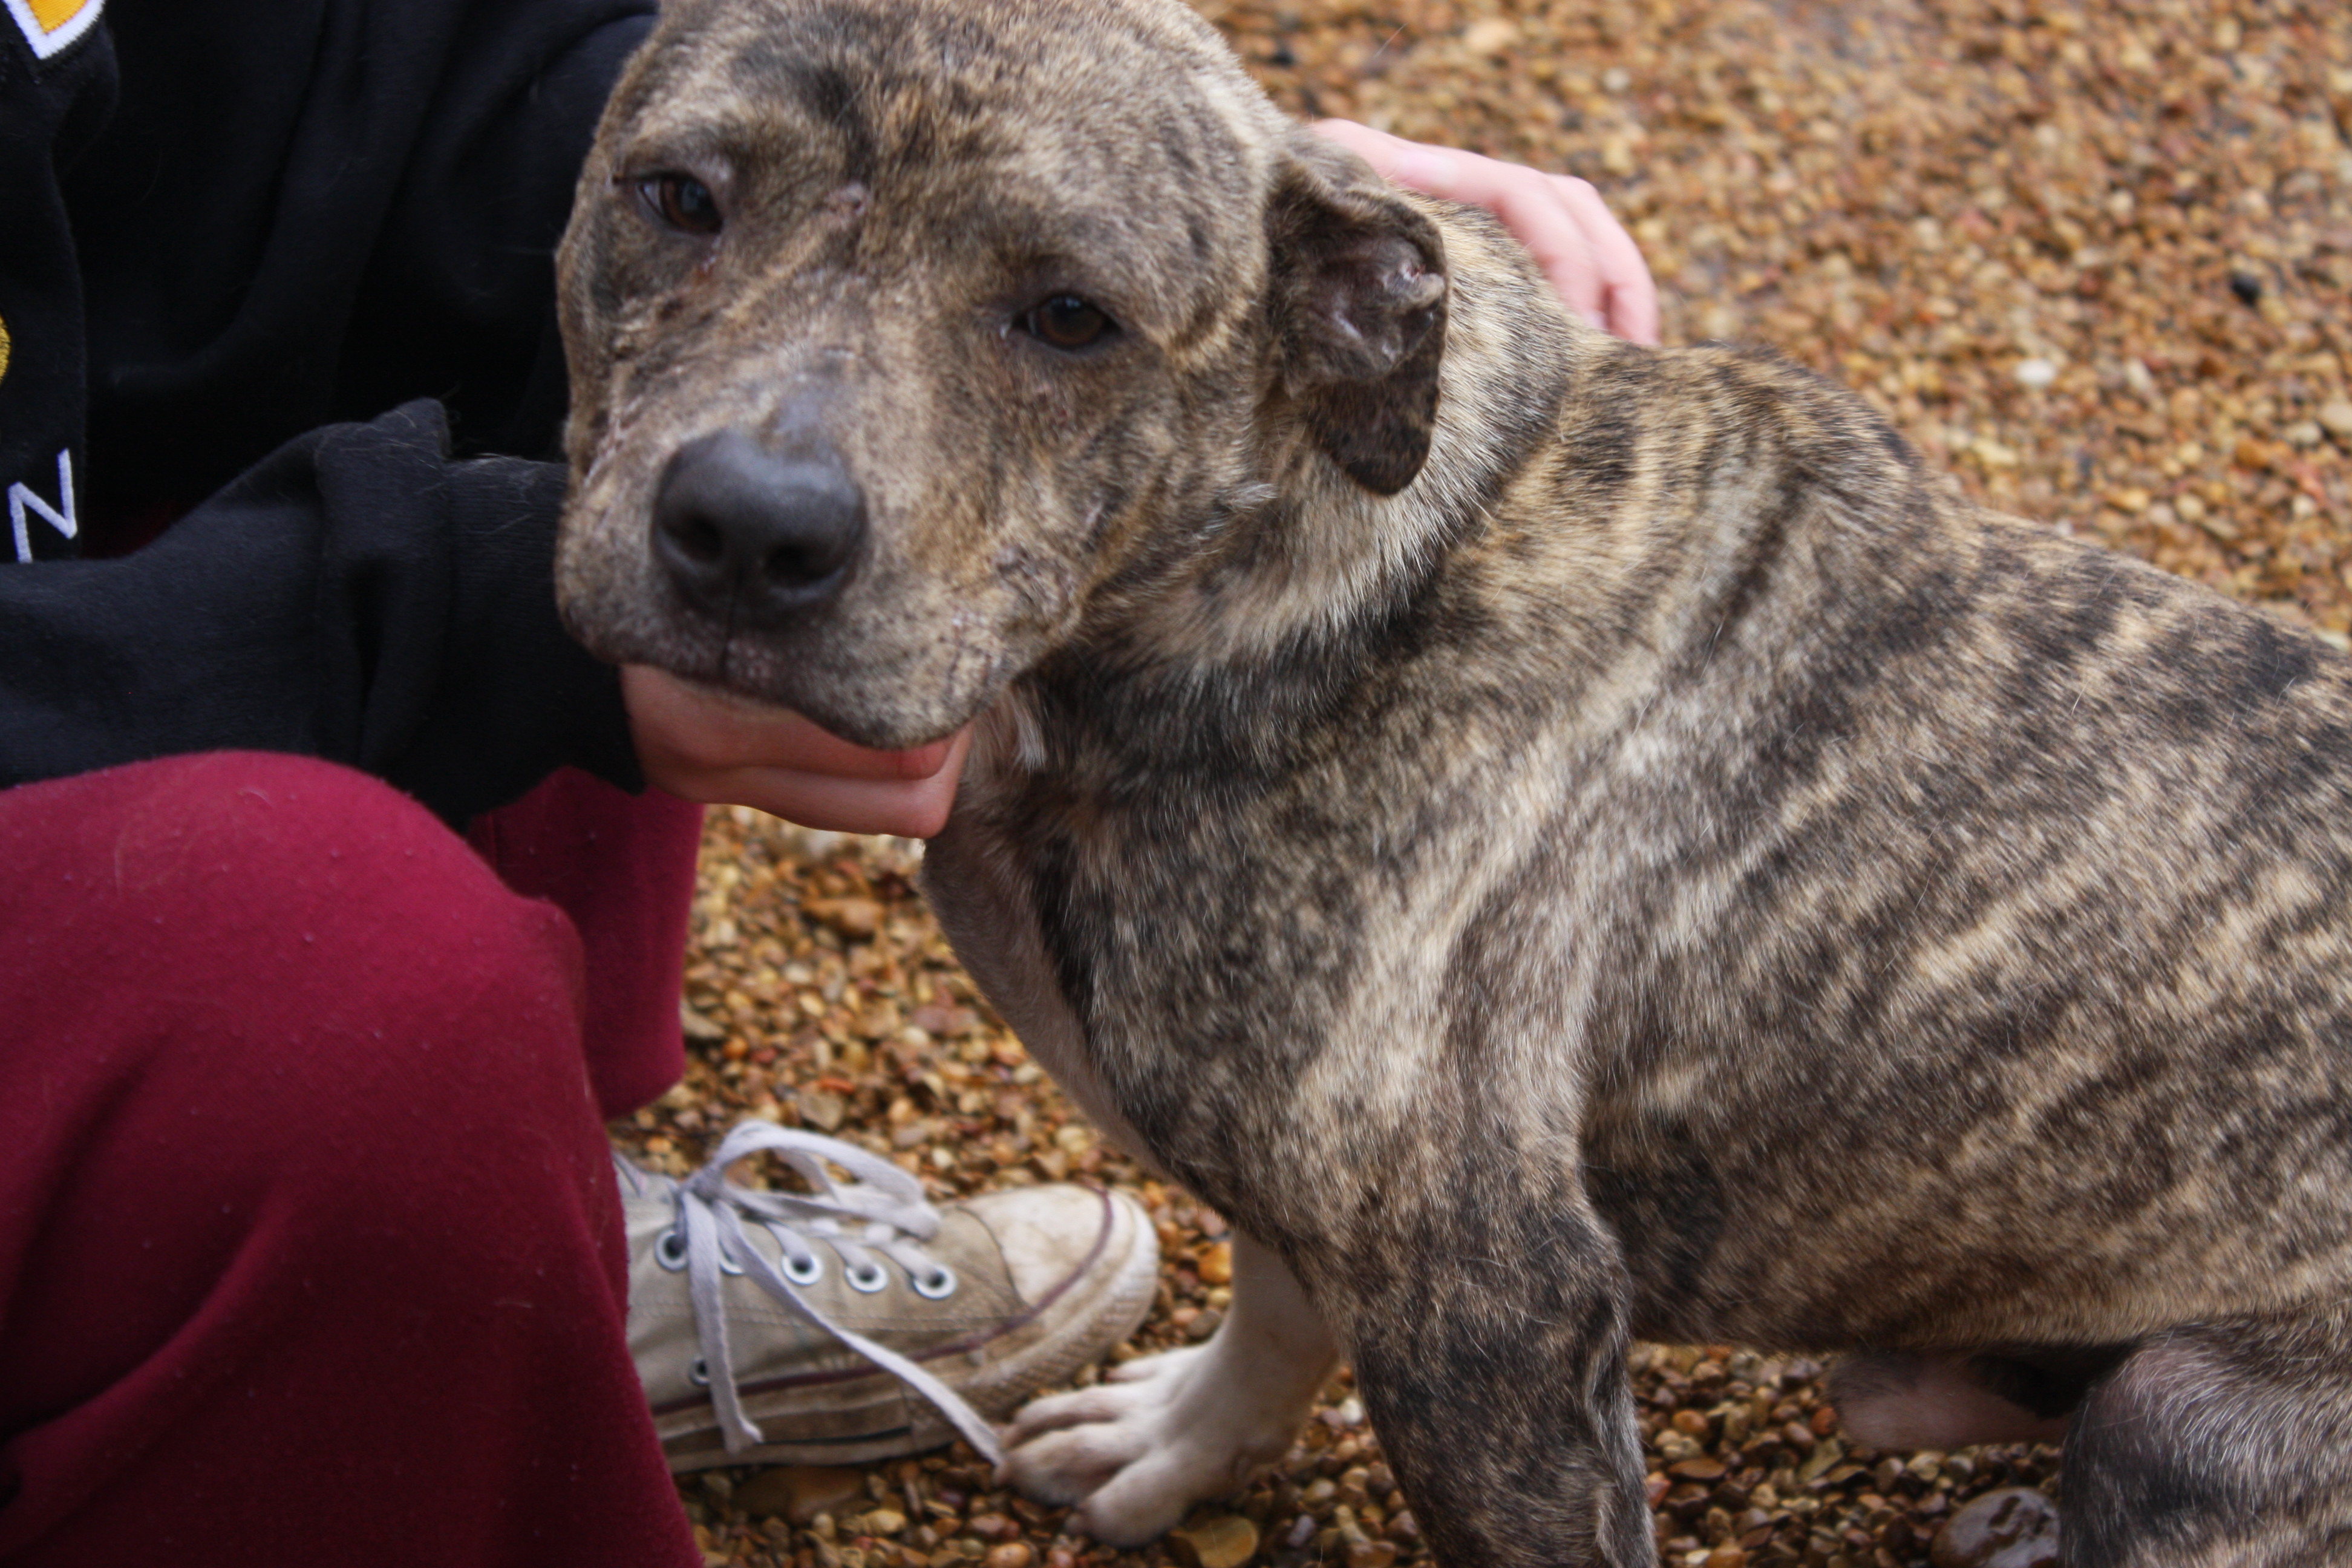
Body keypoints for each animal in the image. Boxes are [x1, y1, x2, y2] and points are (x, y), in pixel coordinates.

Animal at [555, 0, 2352, 1561]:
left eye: (1070, 315)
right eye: (679, 198)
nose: (749, 527)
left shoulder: (1492, 1322)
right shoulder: (1323, 1218)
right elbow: (1272, 1317)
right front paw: (1177, 1452)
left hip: (2182, 1418)